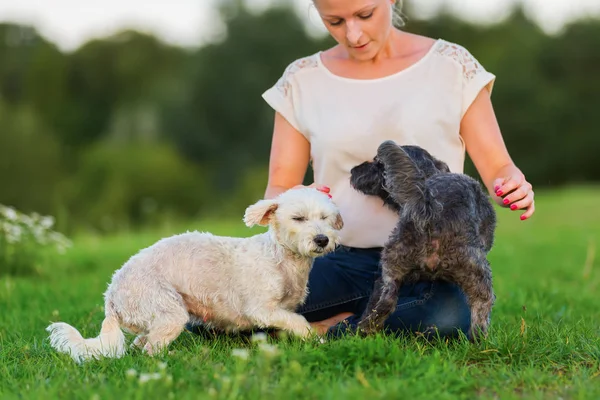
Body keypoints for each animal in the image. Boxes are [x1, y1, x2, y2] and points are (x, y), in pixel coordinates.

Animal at [46, 188, 342, 362]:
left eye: (326, 218)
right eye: (298, 218)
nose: (322, 239)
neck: (280, 258)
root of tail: (112, 295)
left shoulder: (280, 311)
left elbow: (289, 324)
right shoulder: (261, 309)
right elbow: (299, 322)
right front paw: (315, 339)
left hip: (153, 317)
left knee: (140, 345)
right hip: (168, 310)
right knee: (151, 351)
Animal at [346, 141, 496, 340]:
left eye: (377, 164)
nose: (354, 169)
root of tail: (428, 203)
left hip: (391, 271)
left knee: (383, 304)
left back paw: (364, 330)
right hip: (479, 276)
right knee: (481, 311)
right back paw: (479, 340)